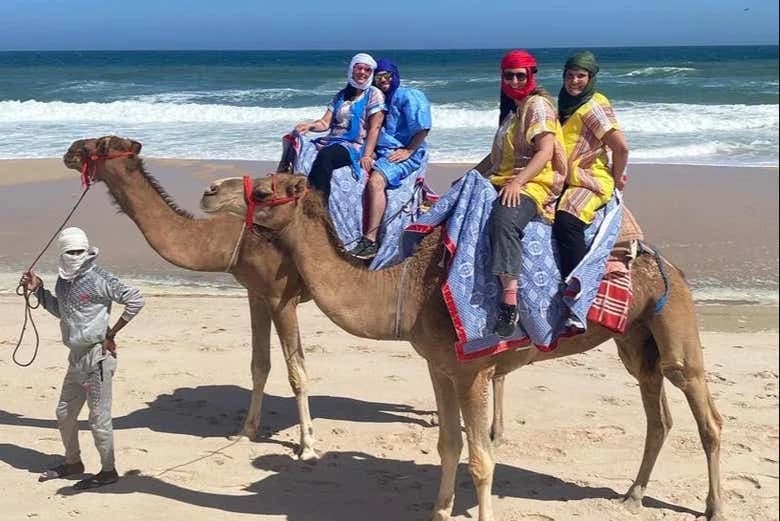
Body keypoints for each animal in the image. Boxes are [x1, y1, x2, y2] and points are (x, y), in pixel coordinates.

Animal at [61, 136, 321, 460]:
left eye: (100, 145)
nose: (70, 150)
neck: (231, 241)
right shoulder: (256, 293)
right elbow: (259, 365)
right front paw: (246, 432)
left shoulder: (280, 296)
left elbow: (297, 372)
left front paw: (307, 445)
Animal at [200, 173, 725, 521]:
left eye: (264, 190)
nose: (209, 191)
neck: (408, 288)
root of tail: (671, 268)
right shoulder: (439, 366)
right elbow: (448, 444)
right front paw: (439, 511)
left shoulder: (473, 371)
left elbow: (481, 459)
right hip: (635, 340)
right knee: (658, 413)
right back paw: (633, 495)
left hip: (676, 325)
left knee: (706, 416)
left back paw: (713, 507)